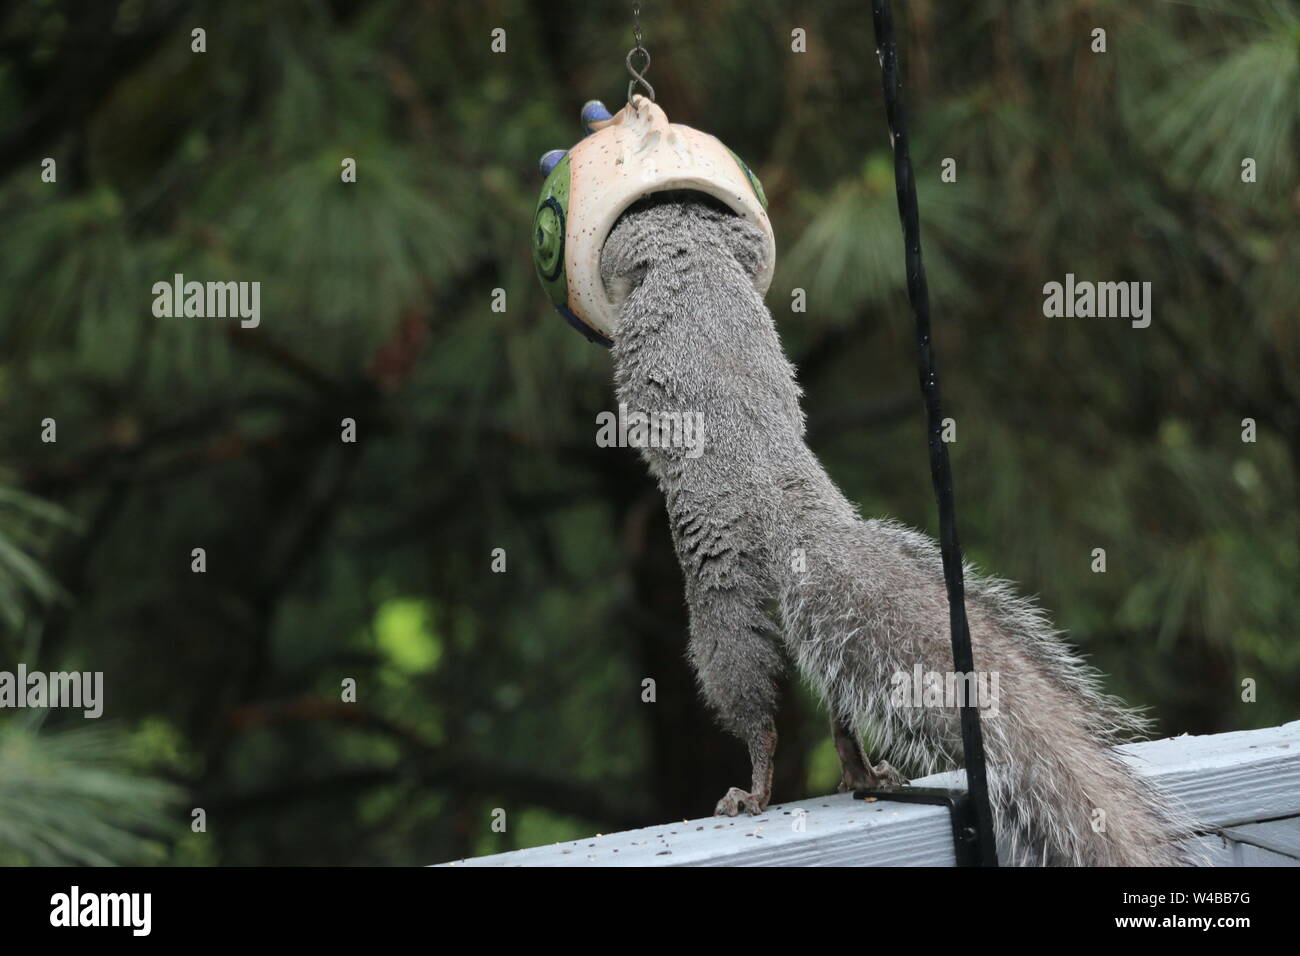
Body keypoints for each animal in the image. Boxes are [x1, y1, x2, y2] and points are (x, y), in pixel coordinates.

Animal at [598, 193, 1201, 866]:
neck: (692, 238)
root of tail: (793, 510)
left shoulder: (642, 242)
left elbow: (617, 255)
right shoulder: (726, 240)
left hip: (721, 602)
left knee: (753, 706)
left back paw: (753, 790)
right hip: (823, 637)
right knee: (839, 701)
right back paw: (860, 771)